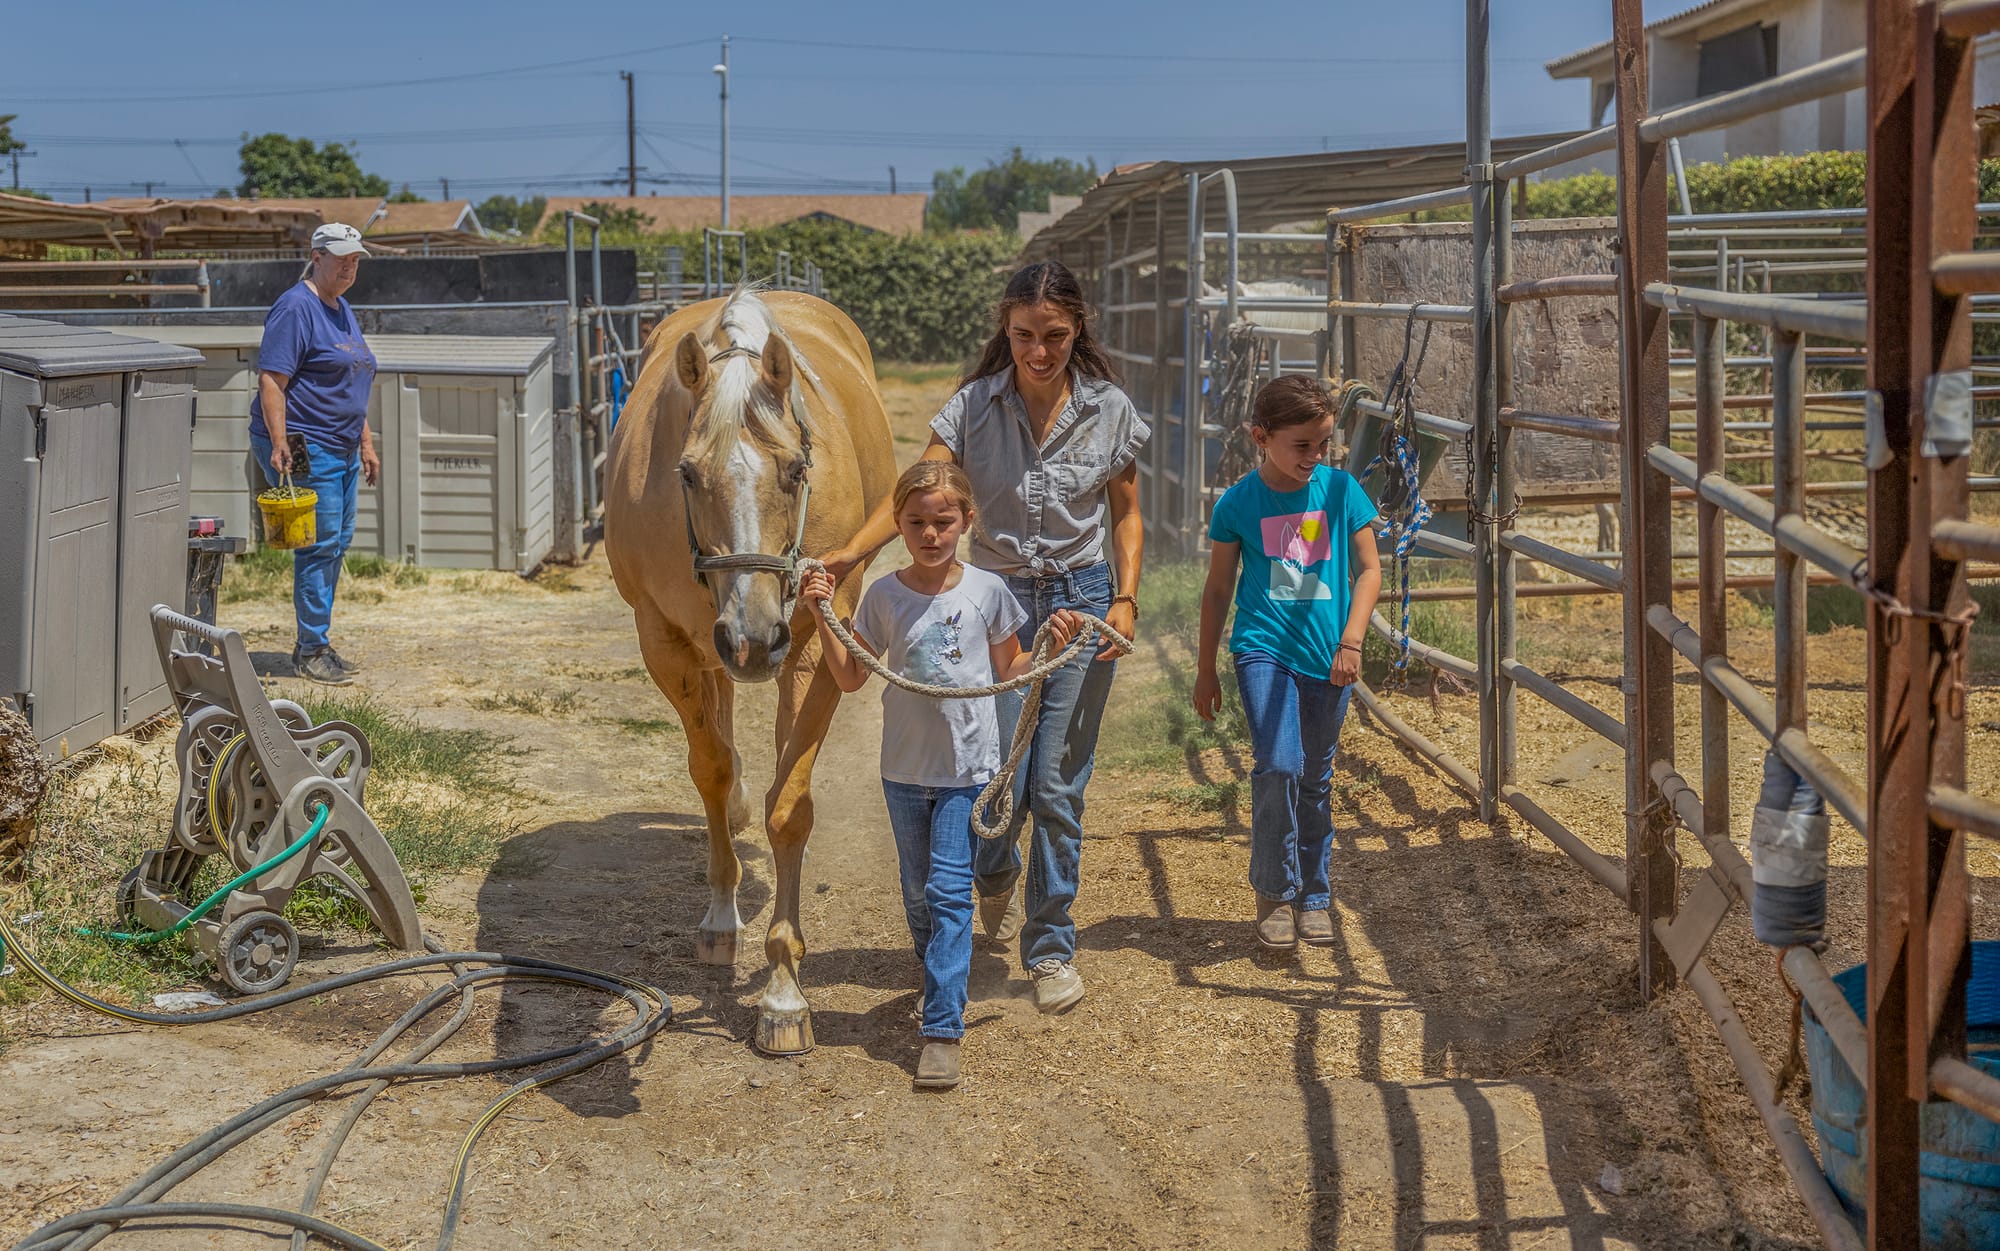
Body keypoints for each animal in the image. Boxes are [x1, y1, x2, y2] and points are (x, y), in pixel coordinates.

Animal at [600, 289, 900, 1055]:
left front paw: (784, 994)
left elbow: (789, 805)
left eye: (795, 470)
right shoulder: (666, 641)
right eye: (686, 474)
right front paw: (719, 918)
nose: (755, 638)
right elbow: (709, 769)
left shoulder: (819, 641)